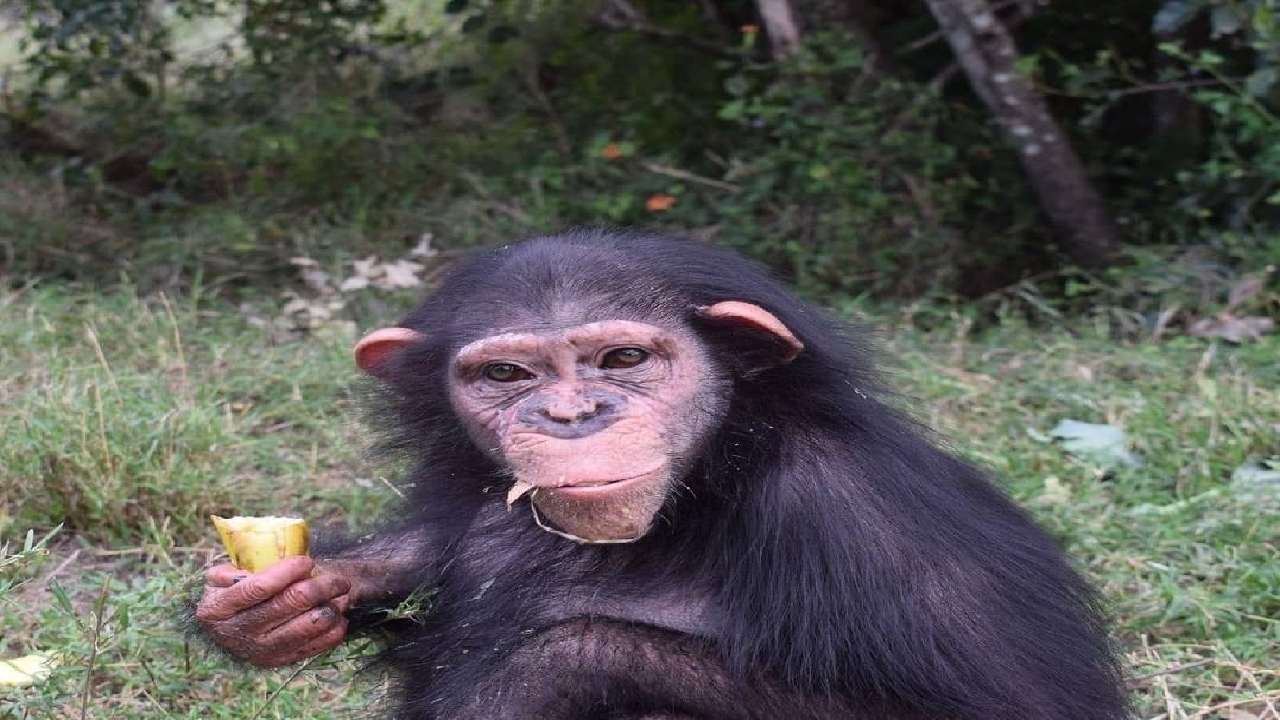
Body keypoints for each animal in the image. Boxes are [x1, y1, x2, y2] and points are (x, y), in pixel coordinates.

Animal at [192, 228, 1131, 717]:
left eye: (623, 359)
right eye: (507, 375)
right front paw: (278, 603)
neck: (710, 476)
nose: (571, 415)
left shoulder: (867, 522)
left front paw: (557, 661)